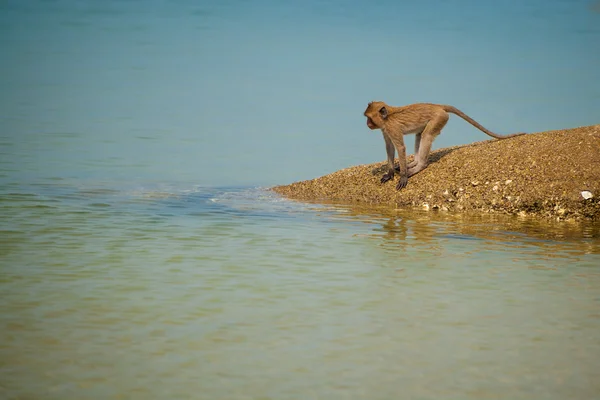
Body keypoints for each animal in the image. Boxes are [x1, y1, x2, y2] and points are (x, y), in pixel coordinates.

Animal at [360, 103, 524, 191]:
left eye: (369, 118)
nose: (367, 124)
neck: (388, 116)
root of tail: (437, 106)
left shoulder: (392, 127)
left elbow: (400, 148)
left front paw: (403, 176)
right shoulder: (386, 129)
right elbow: (389, 147)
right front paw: (390, 173)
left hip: (439, 118)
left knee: (426, 135)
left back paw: (419, 166)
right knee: (420, 134)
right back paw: (413, 163)